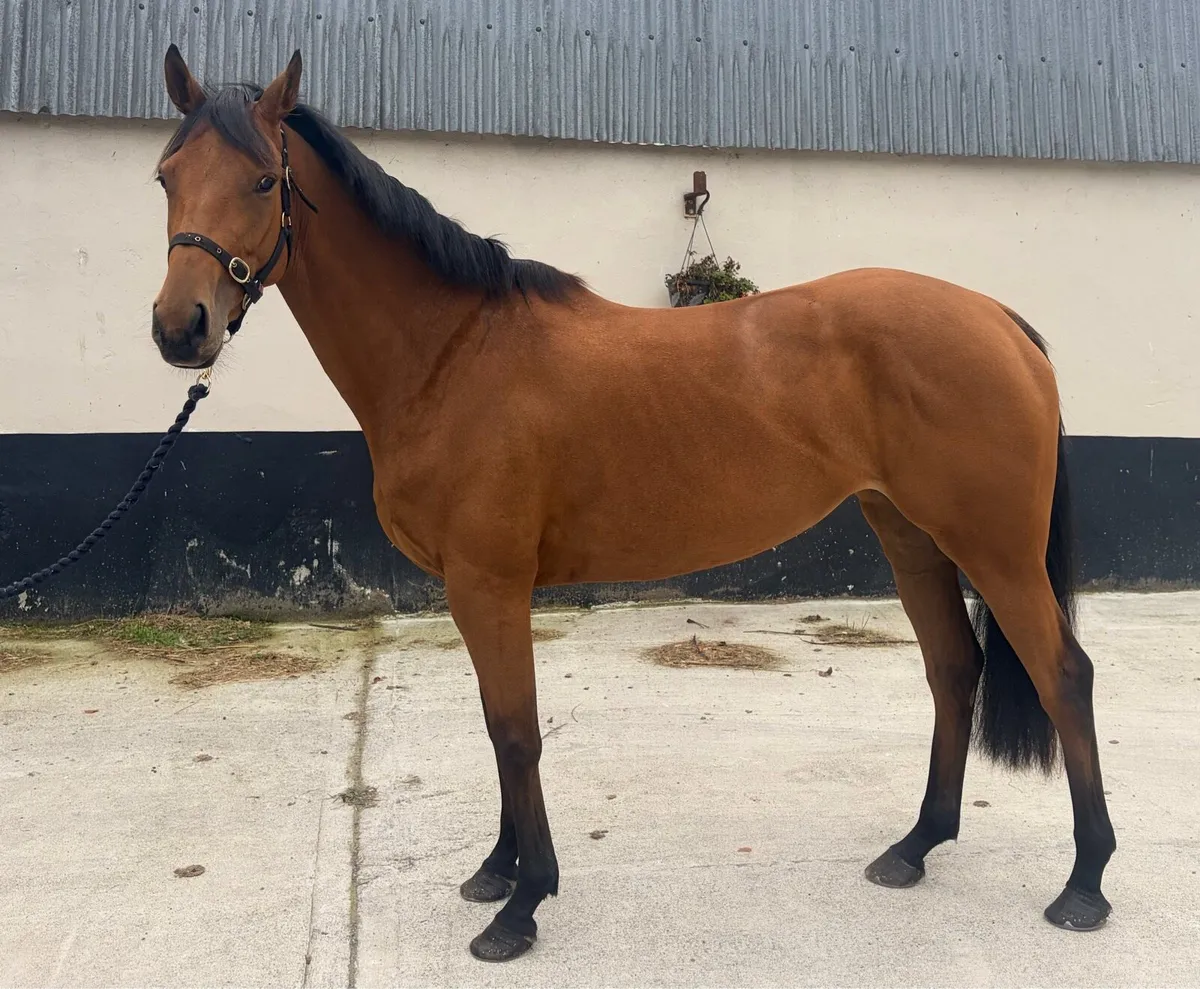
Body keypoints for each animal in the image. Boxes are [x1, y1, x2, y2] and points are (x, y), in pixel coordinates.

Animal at [149, 46, 1116, 962]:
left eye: (263, 181)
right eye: (165, 176)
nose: (179, 327)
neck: (452, 353)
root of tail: (998, 319)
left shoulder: (490, 583)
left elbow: (516, 732)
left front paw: (523, 904)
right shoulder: (474, 591)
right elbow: (497, 726)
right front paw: (496, 869)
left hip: (996, 551)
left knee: (1064, 675)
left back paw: (1085, 884)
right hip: (912, 536)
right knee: (954, 669)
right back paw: (915, 846)